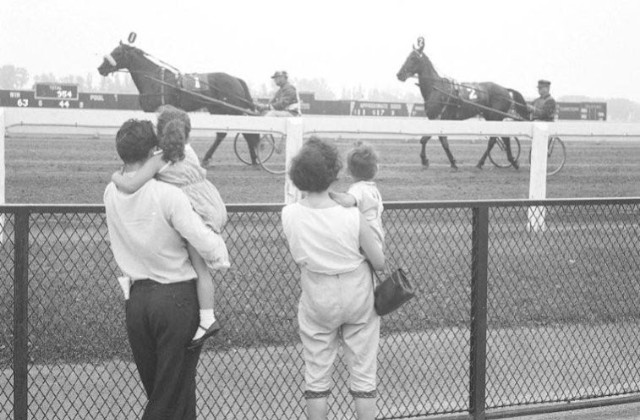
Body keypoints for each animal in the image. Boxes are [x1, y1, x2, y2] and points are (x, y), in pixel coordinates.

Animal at [97, 38, 260, 165]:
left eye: (117, 53)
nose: (100, 68)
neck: (154, 80)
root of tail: (235, 79)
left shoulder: (154, 109)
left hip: (232, 109)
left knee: (245, 132)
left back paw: (253, 160)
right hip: (217, 109)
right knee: (223, 134)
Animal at [396, 38, 528, 170]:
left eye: (413, 58)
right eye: (408, 56)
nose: (399, 74)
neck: (437, 88)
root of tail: (505, 89)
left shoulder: (439, 118)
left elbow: (431, 139)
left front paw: (429, 160)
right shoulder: (436, 120)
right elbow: (436, 140)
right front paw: (446, 161)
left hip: (496, 117)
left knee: (494, 140)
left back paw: (483, 163)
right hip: (491, 117)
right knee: (503, 138)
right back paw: (511, 161)